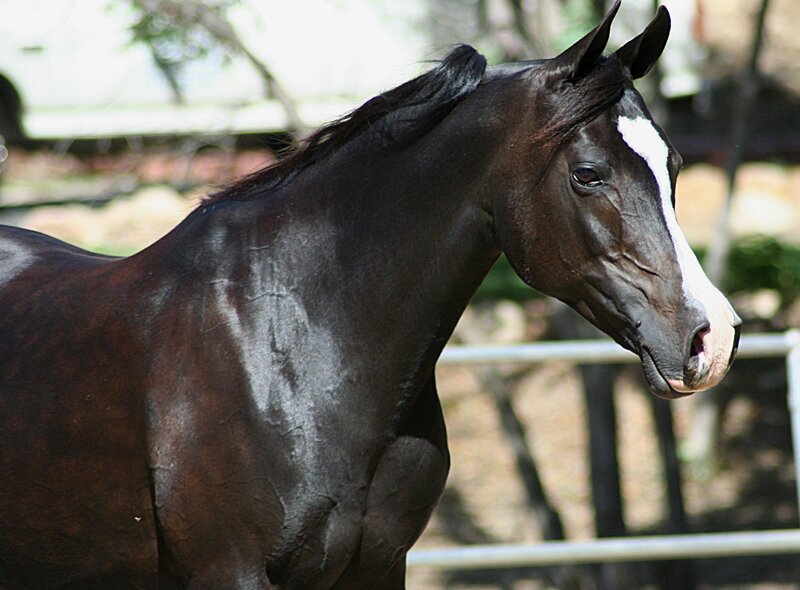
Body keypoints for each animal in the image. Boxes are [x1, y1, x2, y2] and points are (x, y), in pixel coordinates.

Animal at [0, 2, 740, 588]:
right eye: (589, 174)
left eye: (673, 165)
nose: (712, 337)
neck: (291, 349)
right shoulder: (229, 573)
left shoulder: (379, 567)